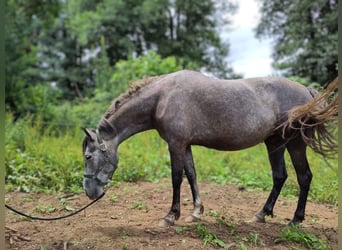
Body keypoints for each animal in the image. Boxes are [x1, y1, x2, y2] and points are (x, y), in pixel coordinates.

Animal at [81, 70, 336, 227]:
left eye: (88, 156)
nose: (89, 192)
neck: (162, 98)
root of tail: (307, 91)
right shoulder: (184, 145)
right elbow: (191, 175)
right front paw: (195, 212)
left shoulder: (175, 145)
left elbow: (176, 178)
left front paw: (171, 216)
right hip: (274, 143)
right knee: (280, 176)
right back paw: (262, 214)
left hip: (295, 144)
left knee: (304, 177)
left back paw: (295, 220)